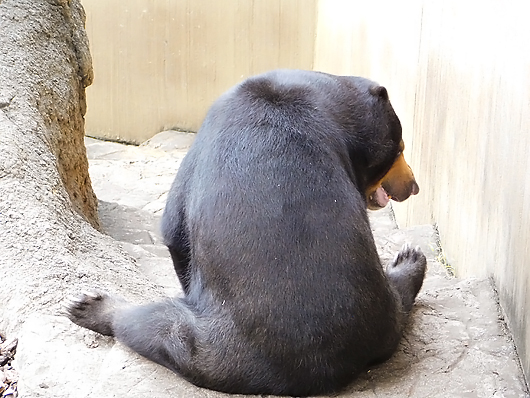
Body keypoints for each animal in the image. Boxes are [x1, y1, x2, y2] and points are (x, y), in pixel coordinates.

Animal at [67, 70, 424, 396]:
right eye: (401, 150)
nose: (413, 187)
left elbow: (175, 229)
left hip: (204, 345)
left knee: (149, 325)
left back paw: (89, 306)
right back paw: (412, 259)